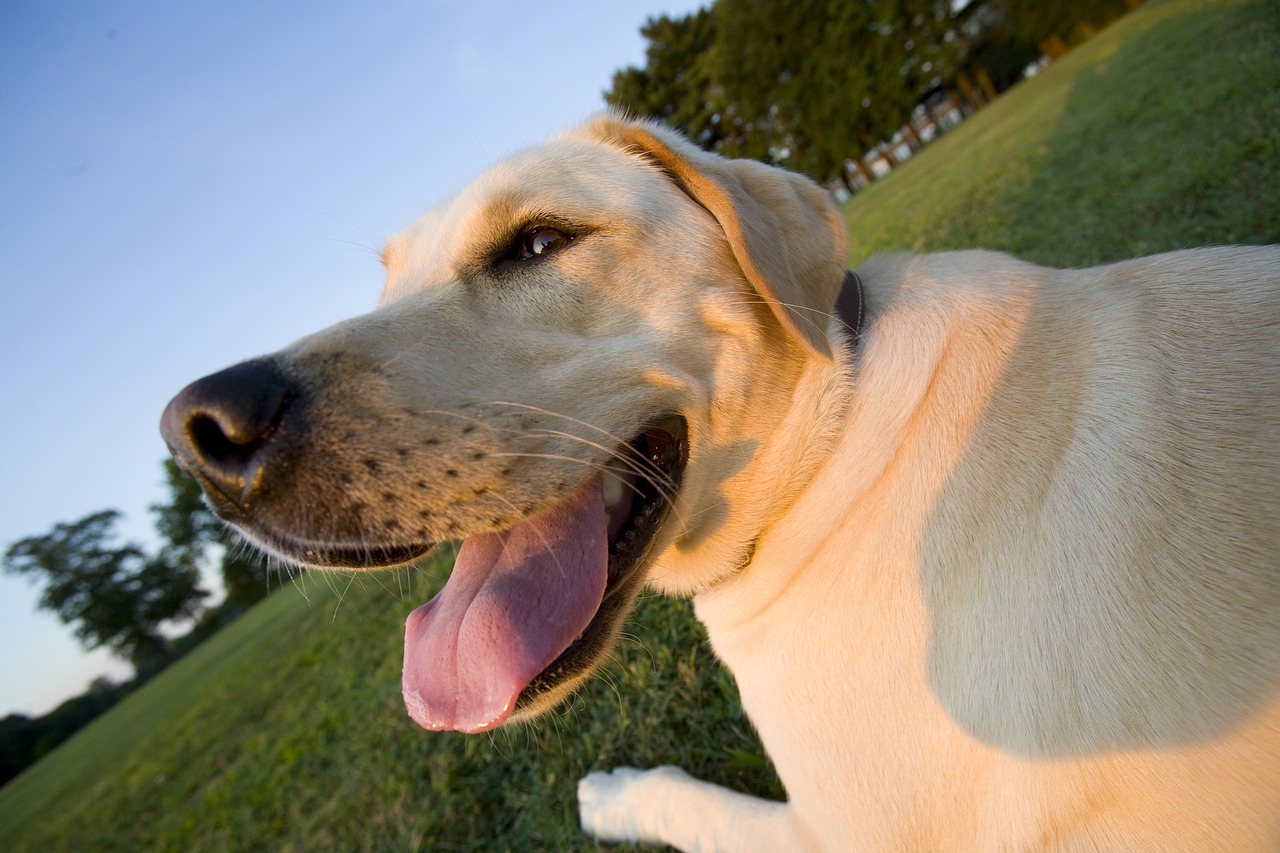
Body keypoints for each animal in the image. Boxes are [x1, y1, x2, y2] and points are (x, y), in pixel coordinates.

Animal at [160, 114, 1280, 850]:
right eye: (388, 285)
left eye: (538, 242)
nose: (199, 431)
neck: (824, 452)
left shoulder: (842, 831)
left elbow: (701, 802)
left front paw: (614, 794)